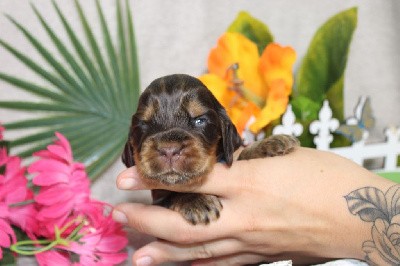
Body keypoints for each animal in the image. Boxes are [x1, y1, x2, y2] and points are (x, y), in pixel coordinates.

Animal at [123, 74, 298, 225]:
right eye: (143, 124)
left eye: (199, 120)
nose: (169, 150)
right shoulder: (159, 199)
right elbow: (174, 193)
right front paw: (196, 200)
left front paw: (270, 144)